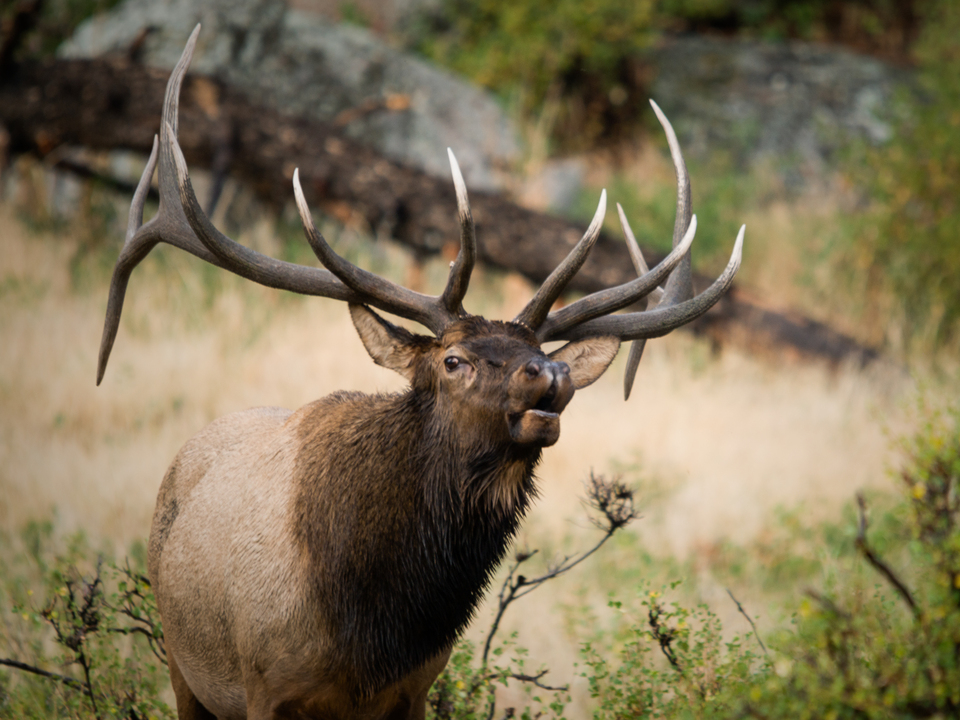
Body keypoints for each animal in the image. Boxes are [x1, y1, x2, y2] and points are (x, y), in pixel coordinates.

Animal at [95, 25, 743, 720]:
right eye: (453, 360)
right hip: (183, 665)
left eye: (543, 355)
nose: (549, 374)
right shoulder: (265, 683)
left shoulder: (415, 688)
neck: (375, 633)